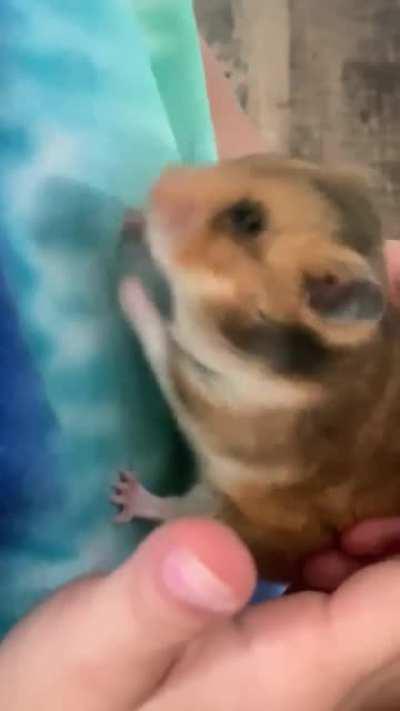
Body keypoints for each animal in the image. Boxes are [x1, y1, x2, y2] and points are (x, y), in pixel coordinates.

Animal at [113, 155, 400, 583]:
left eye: (247, 220)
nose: (159, 180)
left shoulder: (206, 393)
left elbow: (160, 339)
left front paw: (125, 283)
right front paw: (131, 220)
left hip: (231, 515)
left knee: (176, 512)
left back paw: (126, 494)